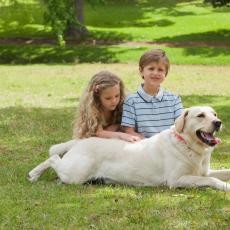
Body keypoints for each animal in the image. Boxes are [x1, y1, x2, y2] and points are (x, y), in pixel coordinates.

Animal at [28, 106, 230, 190]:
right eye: (200, 115)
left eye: (214, 114)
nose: (218, 122)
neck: (189, 145)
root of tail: (80, 141)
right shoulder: (177, 180)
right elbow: (211, 180)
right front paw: (225, 186)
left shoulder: (205, 171)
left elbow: (221, 172)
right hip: (75, 174)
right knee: (53, 158)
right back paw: (34, 174)